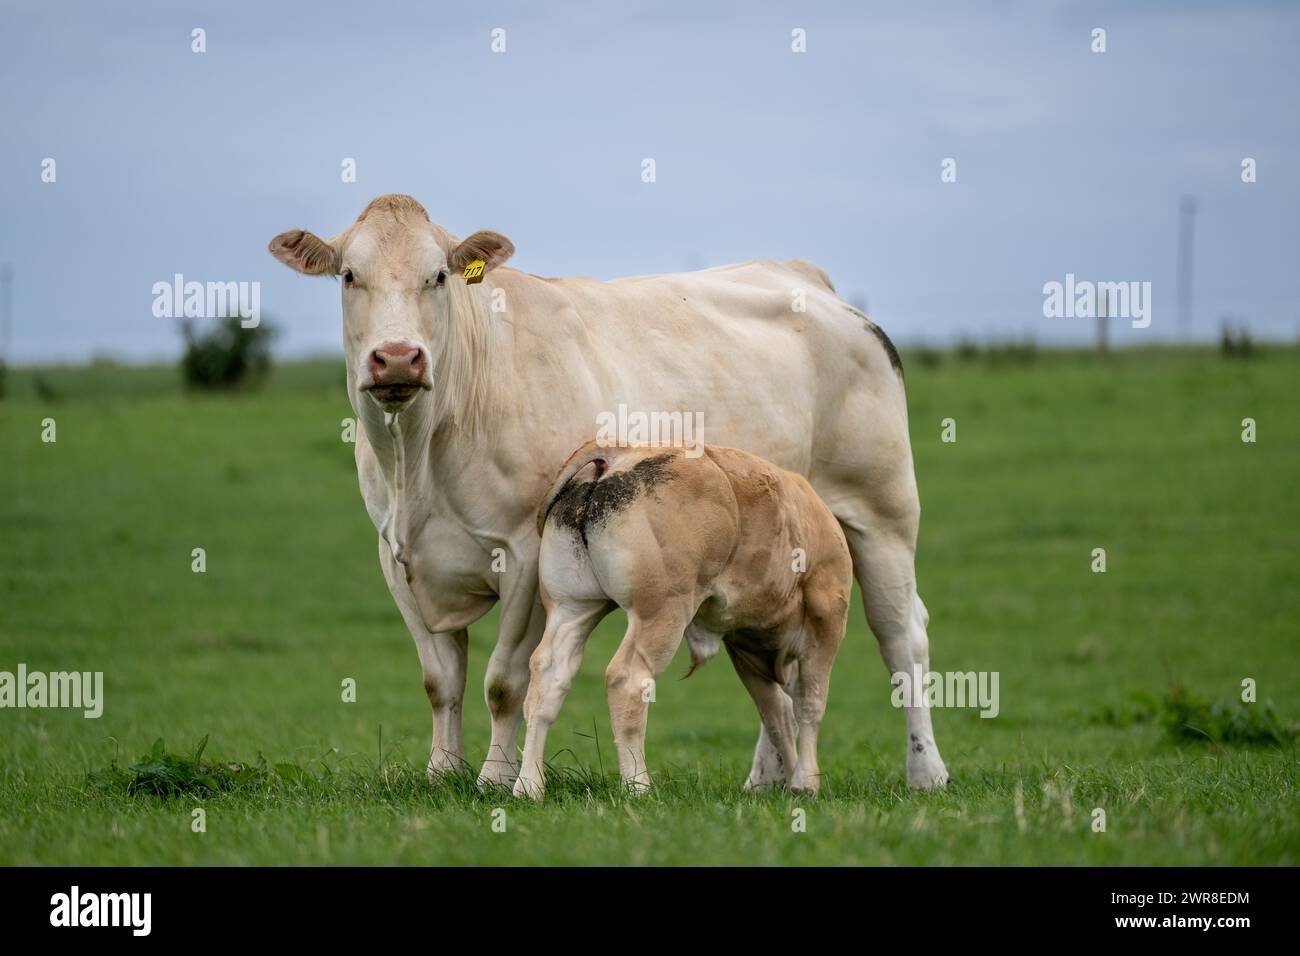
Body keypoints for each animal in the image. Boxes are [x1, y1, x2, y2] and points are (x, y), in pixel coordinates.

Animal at [517, 441, 853, 800]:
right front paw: (806, 782)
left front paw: (792, 781)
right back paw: (638, 787)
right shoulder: (826, 619)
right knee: (628, 679)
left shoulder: (743, 644)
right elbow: (809, 705)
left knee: (548, 677)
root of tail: (620, 452)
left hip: (572, 607)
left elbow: (776, 716)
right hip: (662, 611)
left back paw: (529, 786)